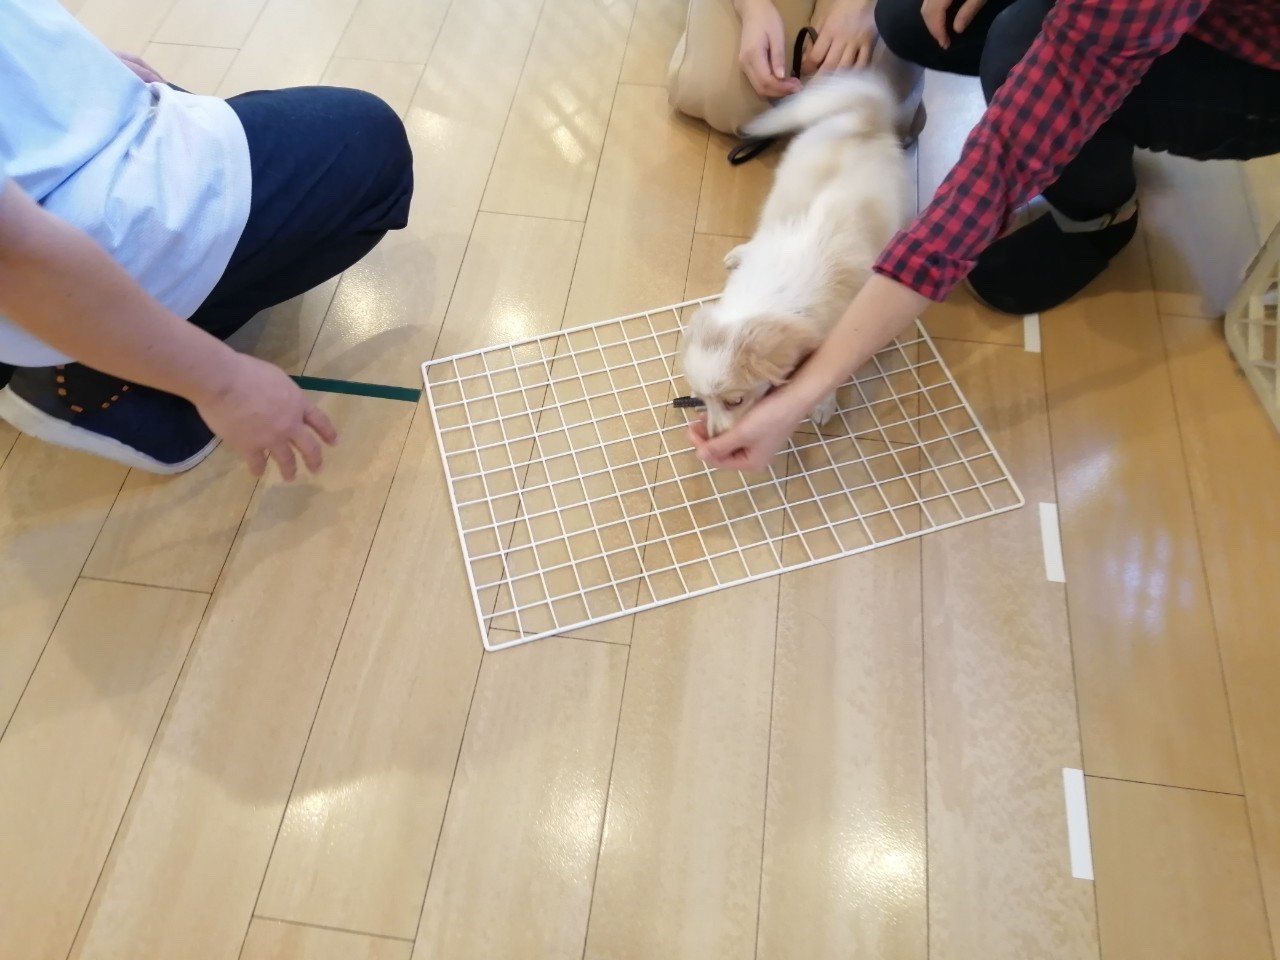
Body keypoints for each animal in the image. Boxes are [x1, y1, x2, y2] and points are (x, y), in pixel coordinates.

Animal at [679, 70, 911, 438]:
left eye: (735, 401)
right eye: (704, 399)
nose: (715, 435)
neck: (774, 292)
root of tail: (867, 122)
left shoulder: (836, 335)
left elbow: (826, 374)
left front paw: (823, 406)